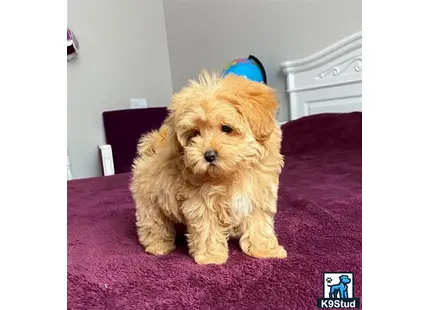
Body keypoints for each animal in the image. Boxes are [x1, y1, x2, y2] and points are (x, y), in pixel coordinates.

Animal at [129, 71, 288, 266]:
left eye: (226, 128)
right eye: (195, 134)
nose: (209, 155)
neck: (232, 173)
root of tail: (152, 146)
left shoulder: (257, 196)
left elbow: (259, 224)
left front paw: (265, 250)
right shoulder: (200, 202)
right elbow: (207, 228)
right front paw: (211, 257)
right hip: (149, 200)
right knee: (153, 222)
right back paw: (158, 246)